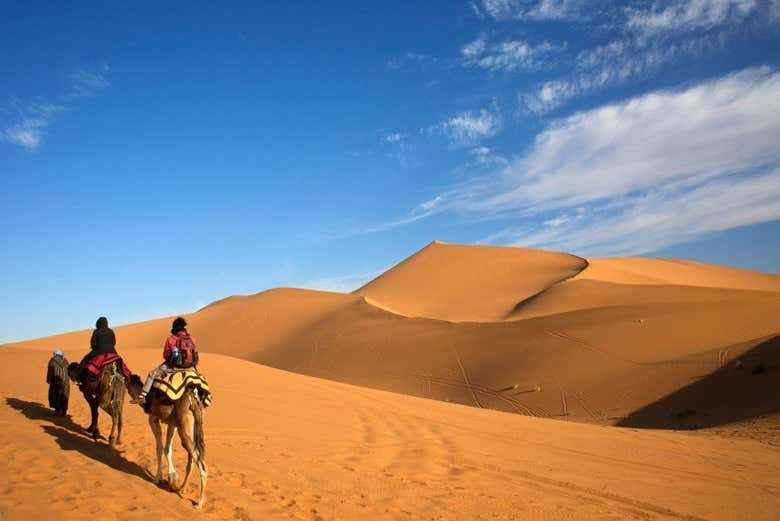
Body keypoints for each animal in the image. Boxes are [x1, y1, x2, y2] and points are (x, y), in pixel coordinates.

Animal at [125, 374, 206, 508]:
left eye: (127, 378)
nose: (123, 375)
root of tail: (192, 400)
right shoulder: (172, 424)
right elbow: (167, 449)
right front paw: (172, 478)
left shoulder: (153, 419)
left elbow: (159, 448)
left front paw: (157, 478)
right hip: (190, 429)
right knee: (192, 459)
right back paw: (182, 488)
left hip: (185, 429)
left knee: (202, 465)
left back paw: (199, 503)